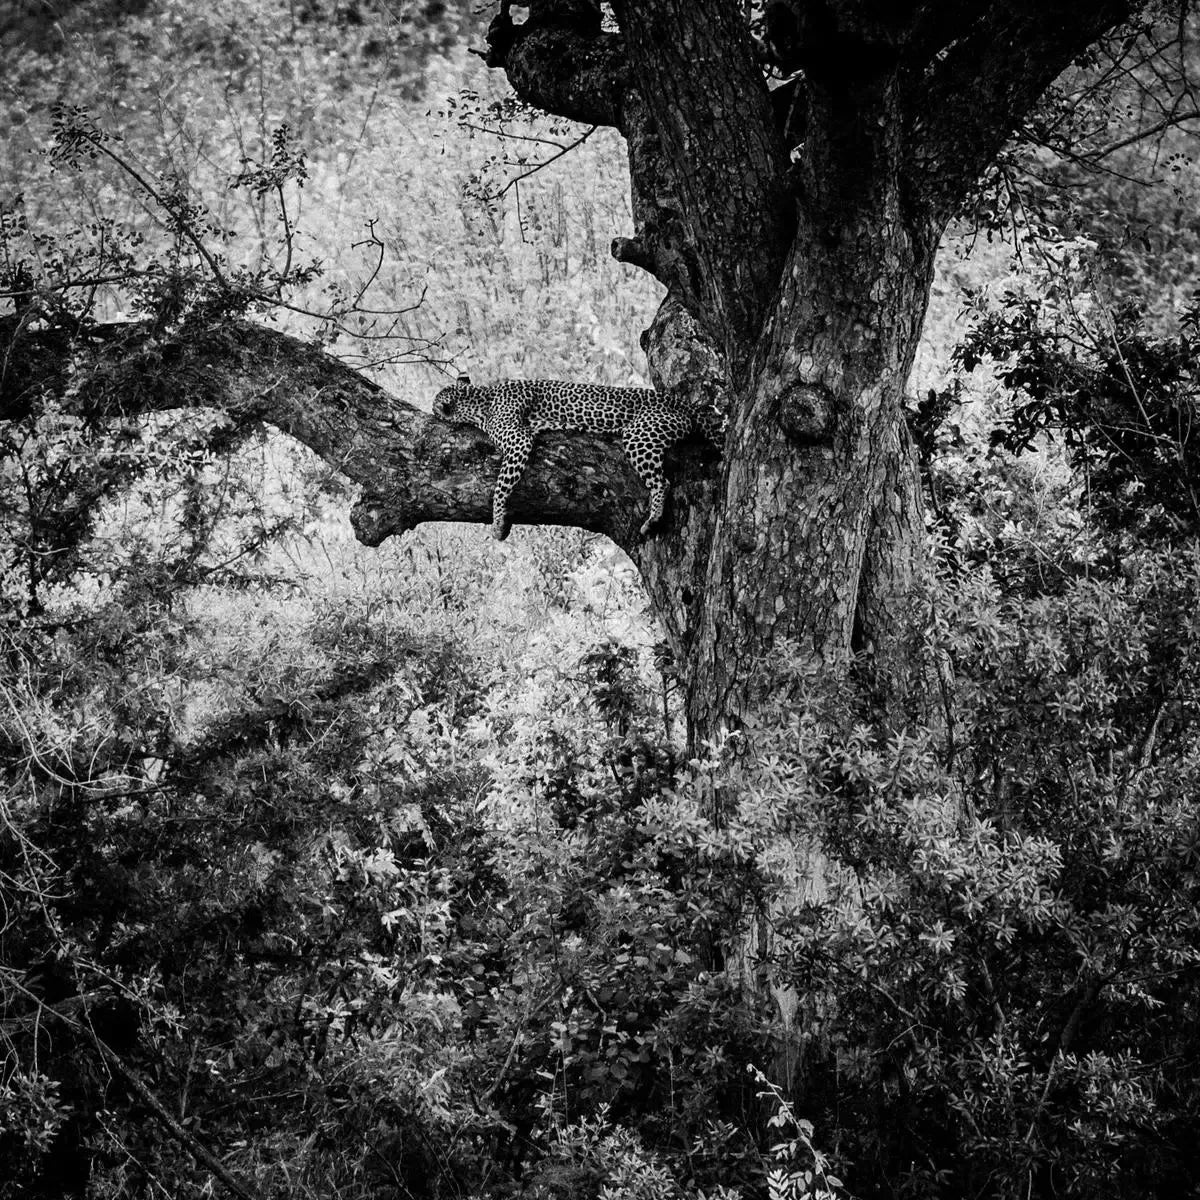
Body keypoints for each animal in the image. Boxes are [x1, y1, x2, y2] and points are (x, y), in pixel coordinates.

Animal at [434, 375, 724, 541]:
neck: (479, 399)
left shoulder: (518, 440)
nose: (432, 408)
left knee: (662, 482)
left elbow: (499, 489)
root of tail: (683, 403)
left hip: (640, 433)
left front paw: (497, 526)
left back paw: (652, 519)